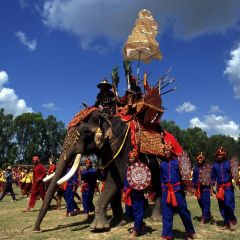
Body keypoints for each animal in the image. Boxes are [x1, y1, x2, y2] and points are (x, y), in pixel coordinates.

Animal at [33, 107, 165, 231]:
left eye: (85, 131)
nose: (37, 229)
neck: (106, 117)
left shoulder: (123, 145)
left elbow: (116, 179)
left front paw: (98, 227)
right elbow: (112, 181)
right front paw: (117, 222)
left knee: (159, 184)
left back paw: (156, 218)